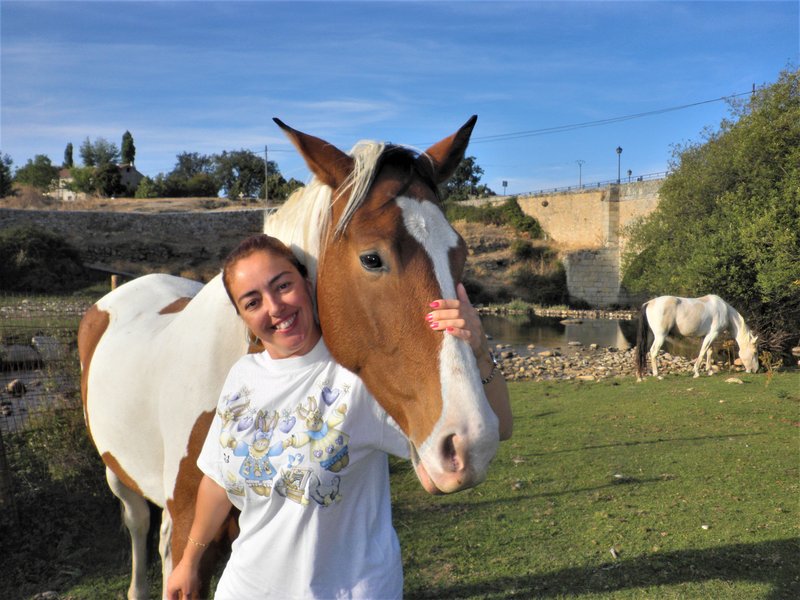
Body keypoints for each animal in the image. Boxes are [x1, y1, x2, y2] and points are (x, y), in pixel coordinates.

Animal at [76, 115, 500, 596]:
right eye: (372, 259)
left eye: (459, 253)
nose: (471, 442)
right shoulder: (191, 535)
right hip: (118, 474)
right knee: (138, 523)